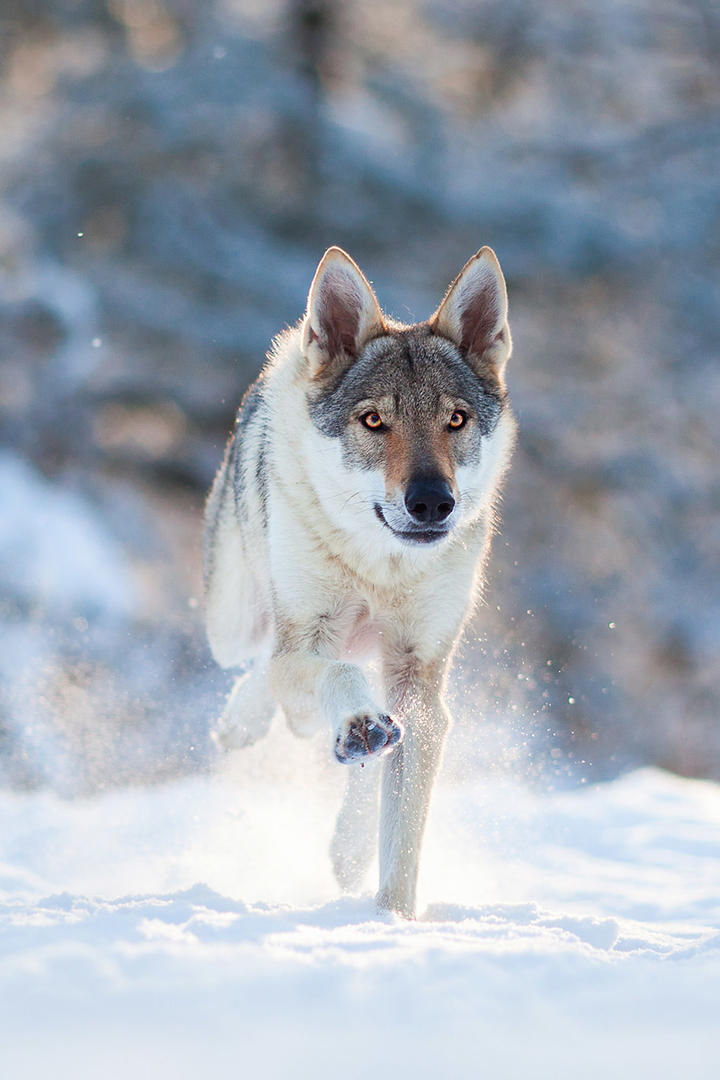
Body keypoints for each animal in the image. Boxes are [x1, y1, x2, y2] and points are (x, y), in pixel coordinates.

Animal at [205, 243, 515, 911]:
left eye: (456, 420)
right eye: (374, 421)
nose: (432, 502)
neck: (381, 569)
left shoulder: (420, 681)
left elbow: (402, 845)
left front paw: (391, 918)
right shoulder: (308, 636)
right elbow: (333, 676)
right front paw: (356, 725)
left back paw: (347, 841)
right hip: (234, 624)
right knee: (270, 672)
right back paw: (253, 723)